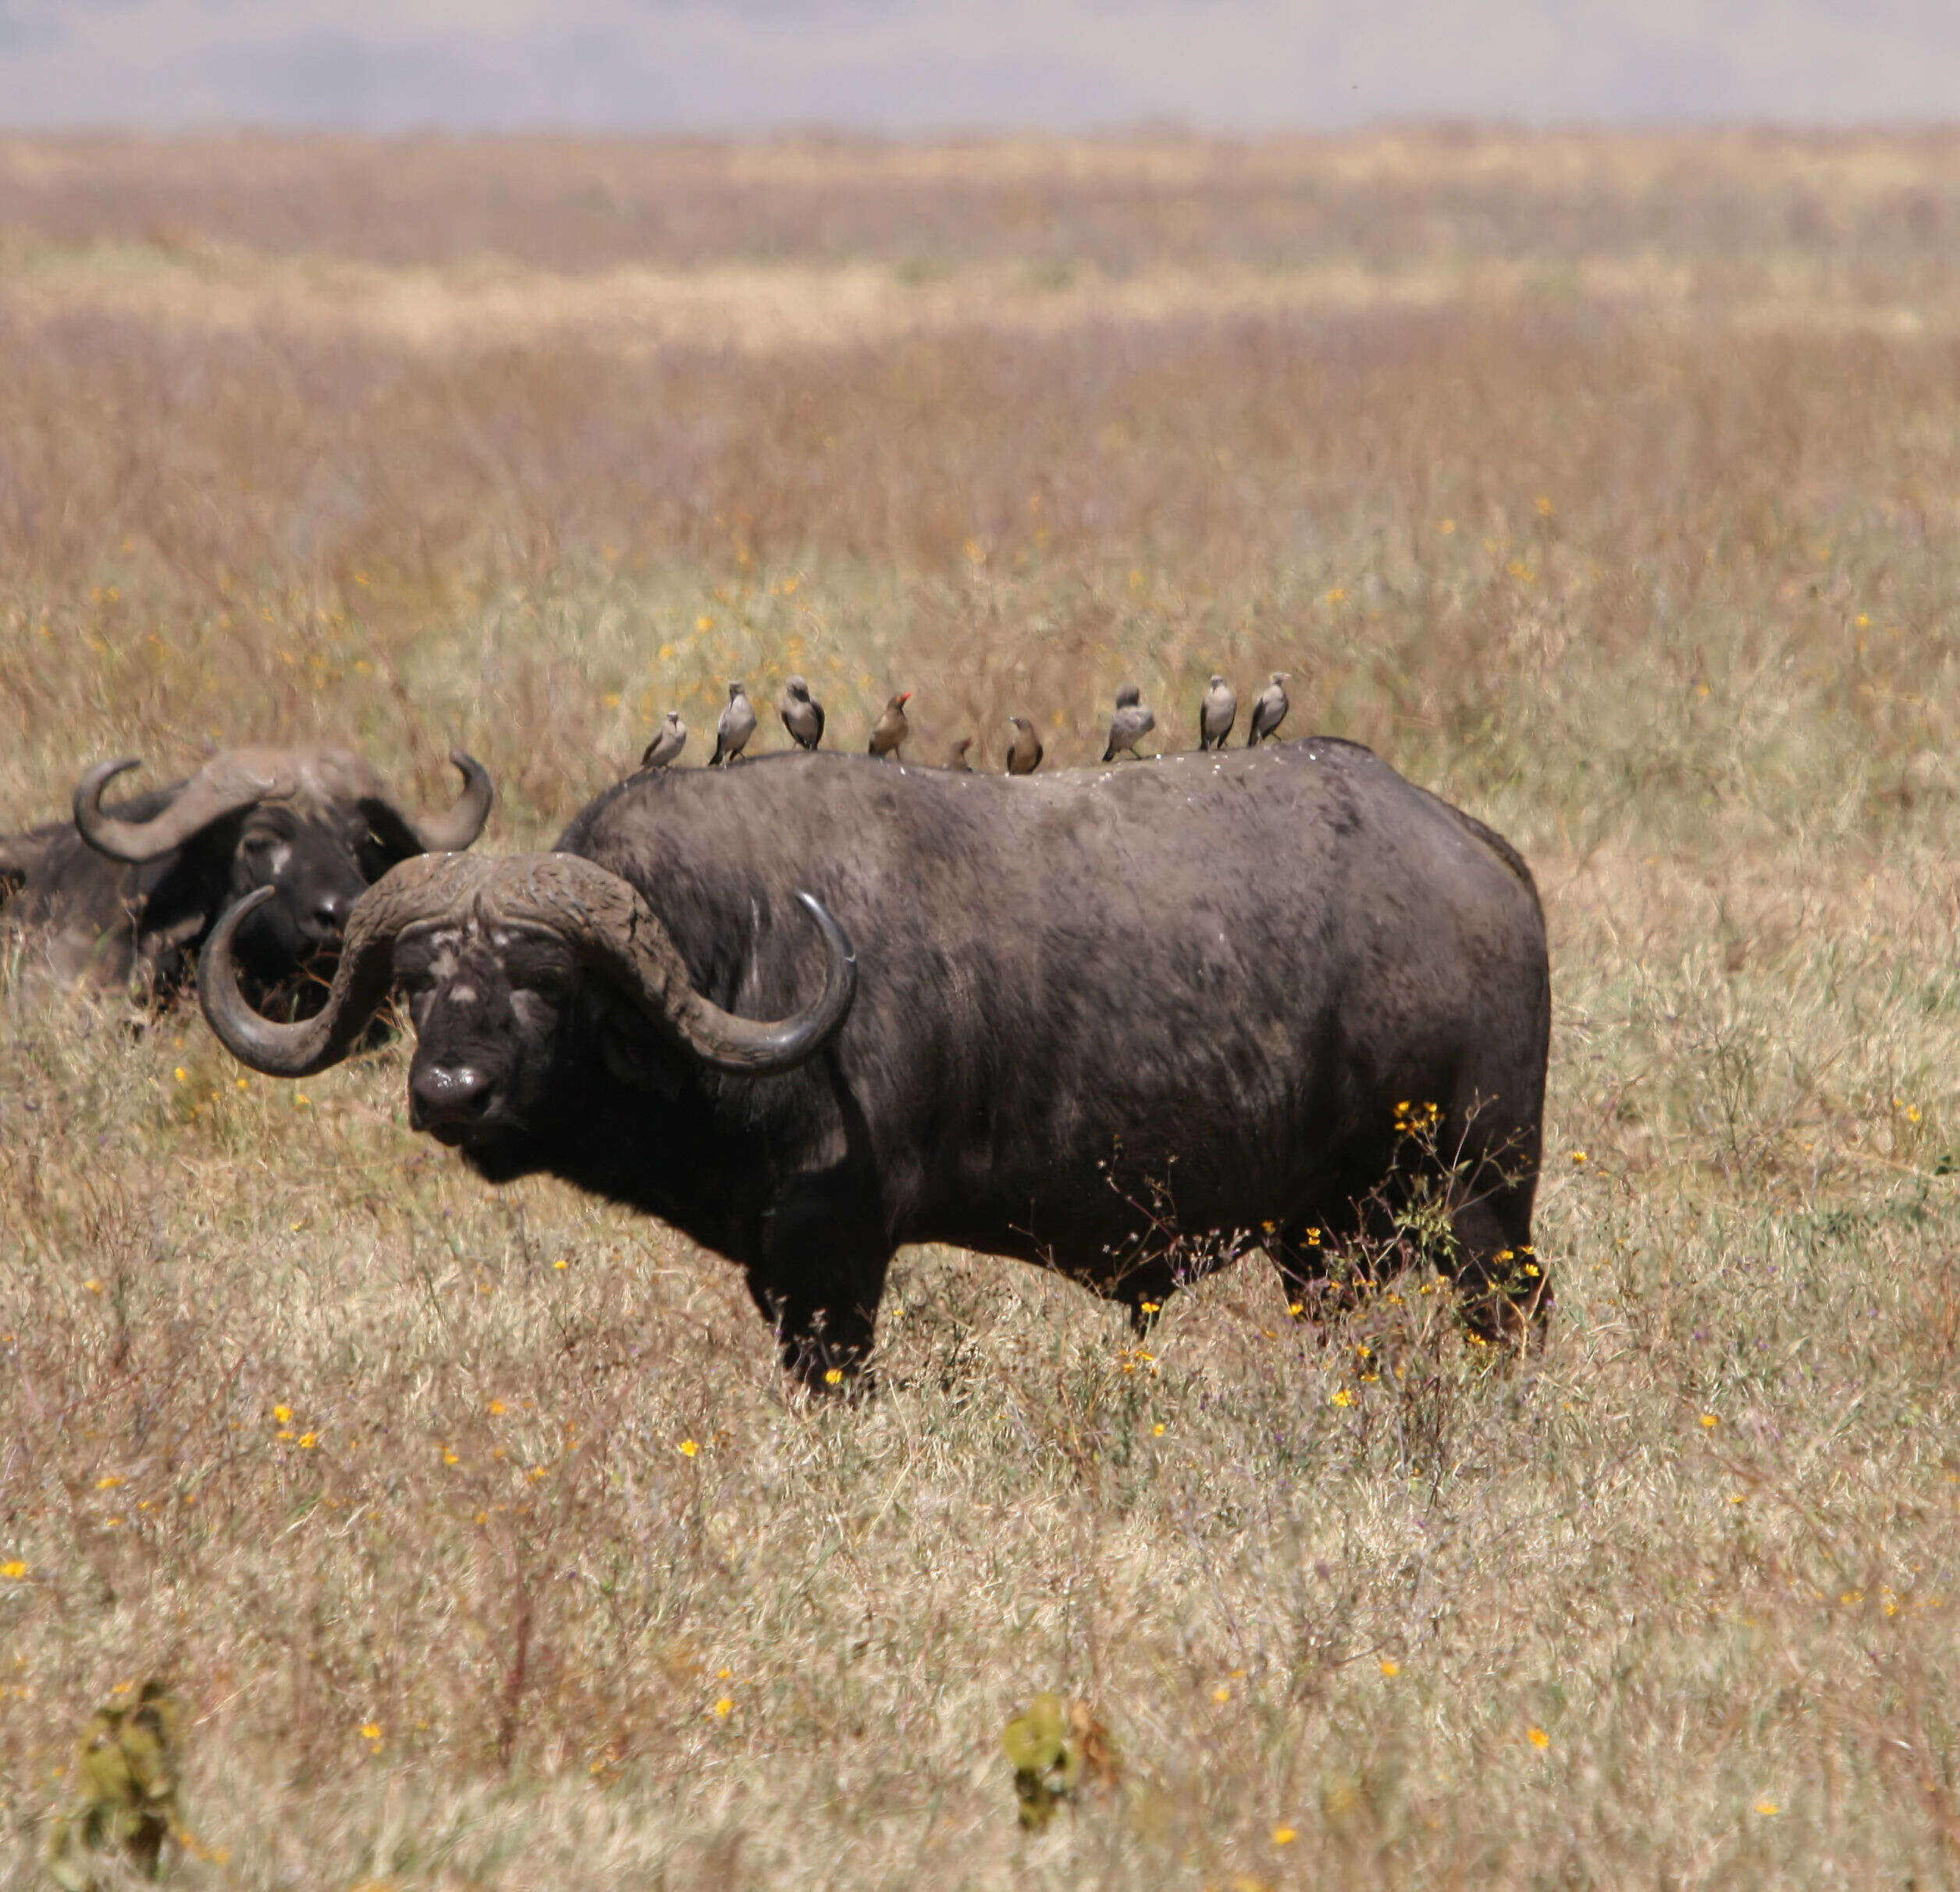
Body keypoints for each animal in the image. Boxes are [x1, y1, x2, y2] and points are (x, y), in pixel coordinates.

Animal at [194, 741, 1544, 1388]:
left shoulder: (831, 1259)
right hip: (1326, 1238)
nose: (448, 1094)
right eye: (420, 981)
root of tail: (1476, 853)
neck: (736, 953)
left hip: (1479, 1195)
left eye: (543, 981)